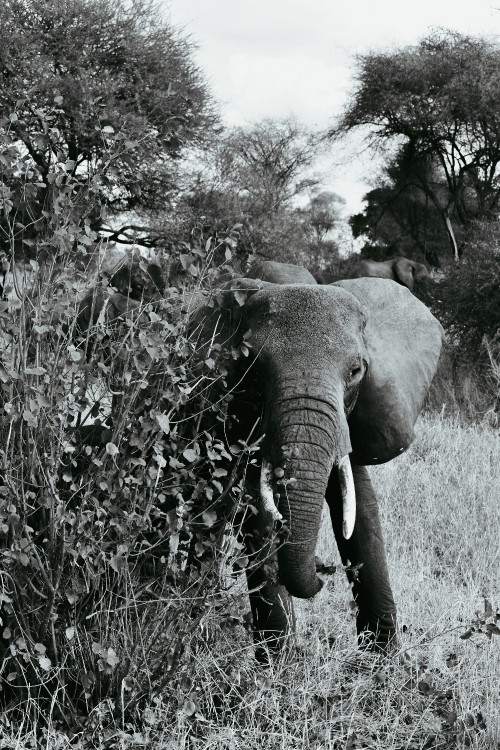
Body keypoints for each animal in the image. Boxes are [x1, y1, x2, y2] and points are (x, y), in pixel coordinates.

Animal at [193, 262, 444, 660]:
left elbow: (360, 506)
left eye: (356, 371)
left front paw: (387, 663)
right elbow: (255, 513)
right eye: (253, 369)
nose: (323, 567)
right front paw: (278, 667)